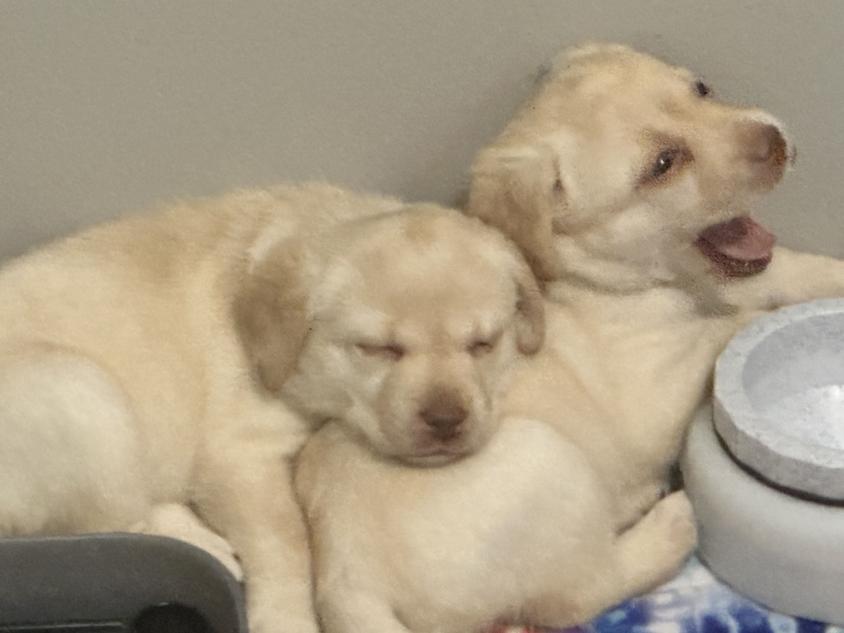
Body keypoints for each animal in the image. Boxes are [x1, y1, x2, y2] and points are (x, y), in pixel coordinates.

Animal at [0, 183, 416, 632]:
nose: (444, 422)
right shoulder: (238, 457)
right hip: (79, 391)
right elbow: (284, 538)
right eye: (376, 349)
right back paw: (206, 545)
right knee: (119, 520)